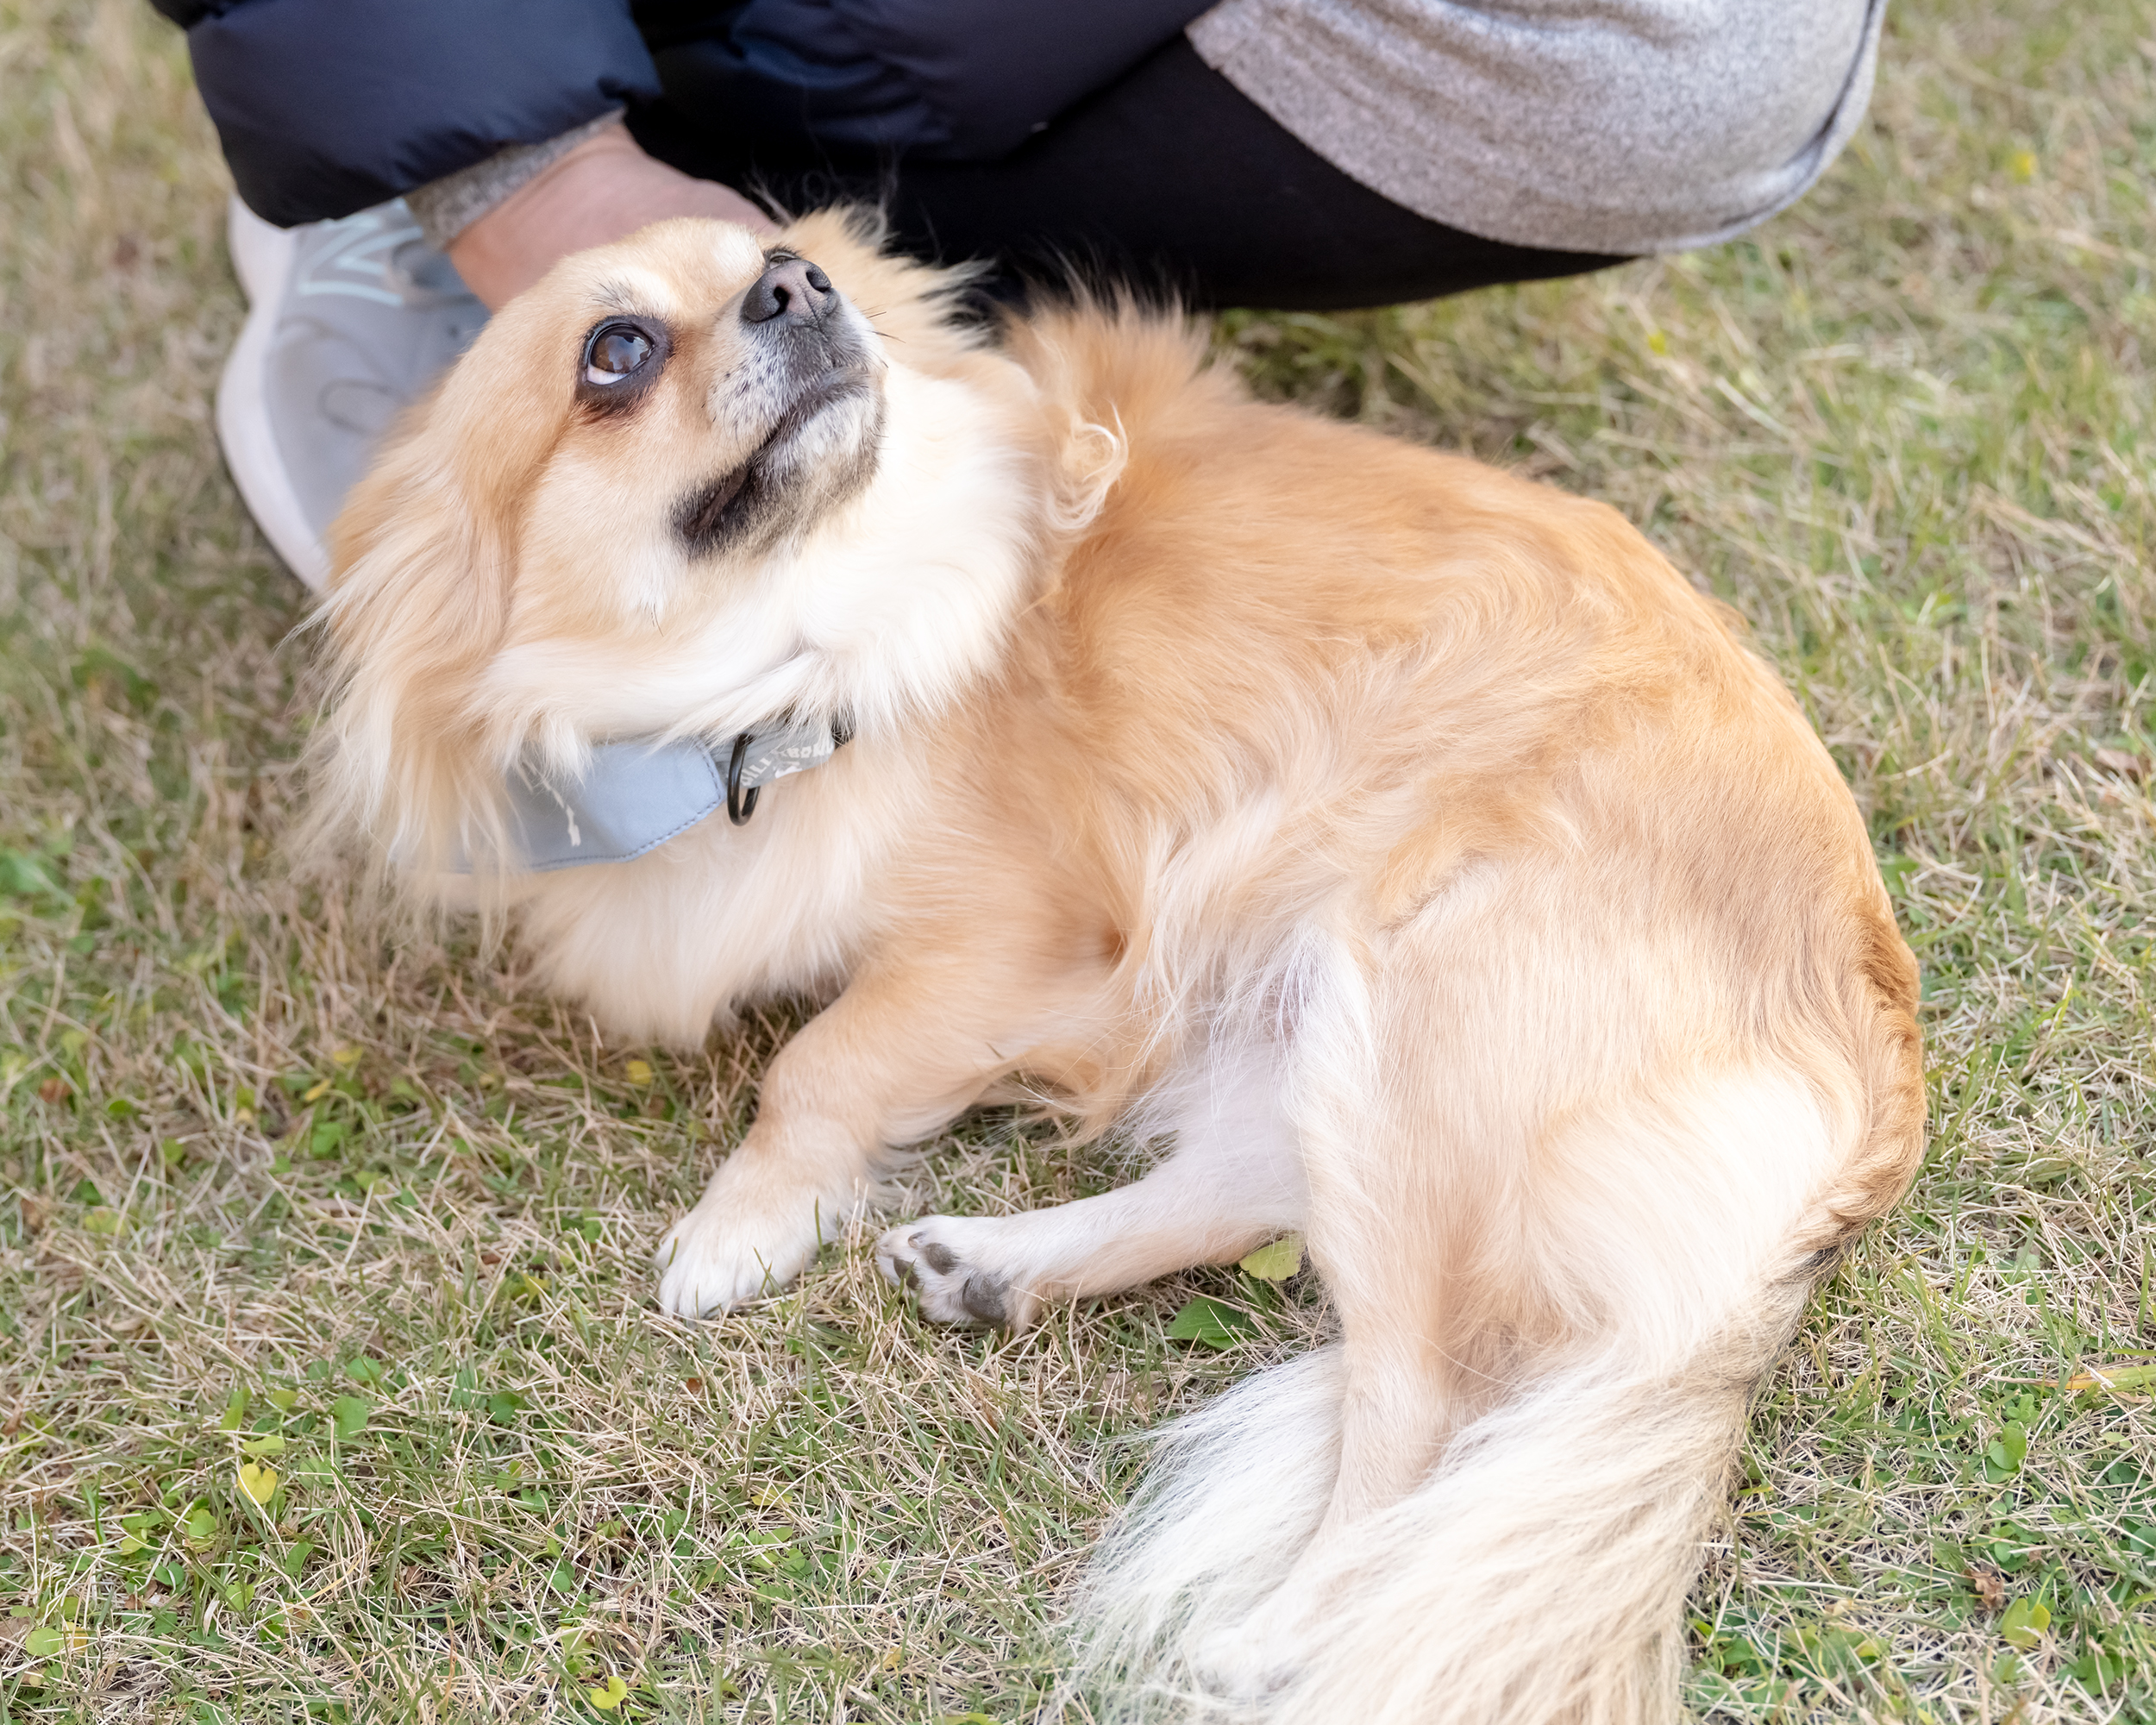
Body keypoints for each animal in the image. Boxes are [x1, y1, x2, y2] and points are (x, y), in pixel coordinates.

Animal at [305, 211, 1924, 1722]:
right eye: (617, 352)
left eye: (771, 253)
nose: (800, 287)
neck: (771, 686)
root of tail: (1874, 1042)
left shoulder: (1029, 939)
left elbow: (824, 1059)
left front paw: (745, 1223)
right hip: (1335, 1029)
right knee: (1250, 1192)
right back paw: (996, 1268)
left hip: (1416, 997)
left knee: (1420, 1412)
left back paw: (1282, 1638)